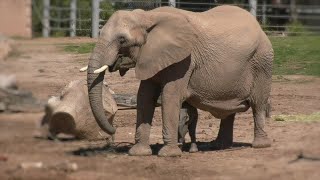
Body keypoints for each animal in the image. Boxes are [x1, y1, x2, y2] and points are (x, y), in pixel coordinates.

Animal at [87, 5, 272, 157]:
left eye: (122, 40)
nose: (114, 131)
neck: (148, 16)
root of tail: (259, 26)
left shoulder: (184, 60)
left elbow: (170, 96)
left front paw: (168, 154)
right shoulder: (151, 56)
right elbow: (144, 97)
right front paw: (138, 153)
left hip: (261, 62)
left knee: (258, 104)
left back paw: (260, 145)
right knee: (229, 110)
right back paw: (219, 146)